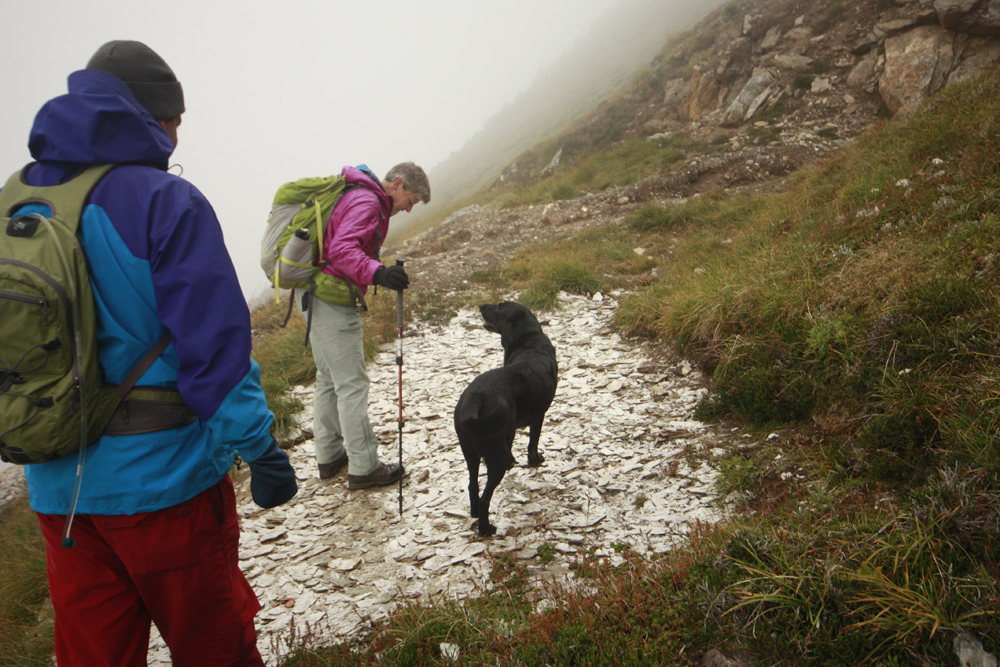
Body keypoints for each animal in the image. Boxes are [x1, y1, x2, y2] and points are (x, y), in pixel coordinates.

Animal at [456, 302, 560, 536]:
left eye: (498, 306)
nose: (481, 305)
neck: (529, 341)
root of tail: (476, 397)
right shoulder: (538, 416)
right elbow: (532, 443)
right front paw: (535, 460)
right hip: (495, 457)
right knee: (485, 498)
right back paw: (486, 528)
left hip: (470, 453)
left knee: (472, 486)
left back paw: (475, 515)